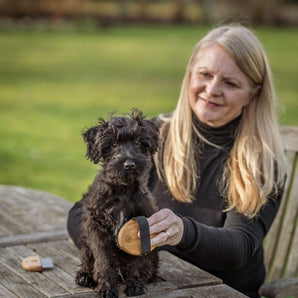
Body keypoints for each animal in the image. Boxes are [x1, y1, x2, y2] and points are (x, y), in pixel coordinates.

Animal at [76, 110, 161, 298]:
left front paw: (135, 284)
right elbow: (104, 261)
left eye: (137, 142)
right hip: (85, 243)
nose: (129, 164)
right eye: (113, 144)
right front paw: (107, 288)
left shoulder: (142, 227)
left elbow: (138, 260)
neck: (123, 189)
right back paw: (85, 276)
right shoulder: (97, 228)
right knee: (87, 260)